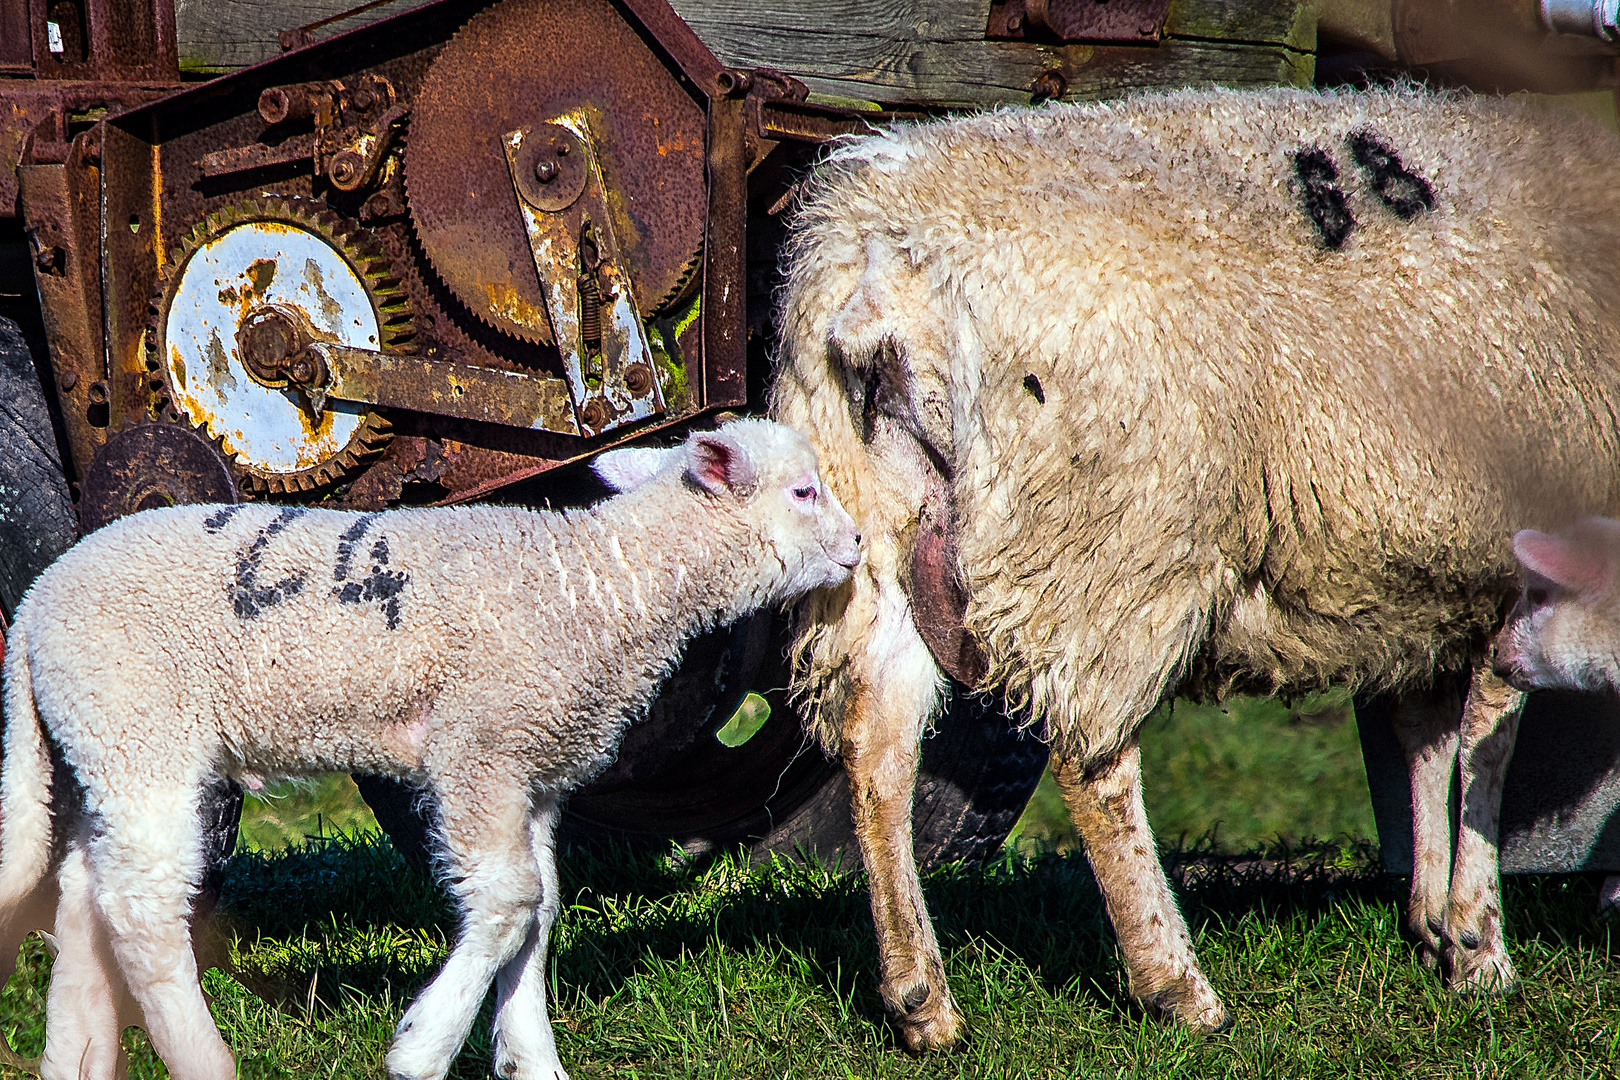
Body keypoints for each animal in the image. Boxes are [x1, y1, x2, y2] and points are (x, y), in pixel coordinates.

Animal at [0, 417, 861, 1080]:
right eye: (803, 491)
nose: (858, 543)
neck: (602, 585)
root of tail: (36, 606)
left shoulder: (533, 769)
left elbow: (540, 907)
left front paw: (529, 1058)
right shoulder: (479, 745)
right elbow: (509, 902)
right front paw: (423, 1047)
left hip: (100, 740)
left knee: (83, 893)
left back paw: (76, 1060)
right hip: (141, 725)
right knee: (140, 906)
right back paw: (204, 1061)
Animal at [767, 86, 1620, 1055]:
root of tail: (880, 259)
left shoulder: (1430, 577)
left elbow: (1428, 735)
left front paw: (1435, 922)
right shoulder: (1522, 547)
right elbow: (1490, 732)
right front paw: (1479, 946)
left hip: (869, 530)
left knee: (877, 741)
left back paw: (922, 1000)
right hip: (1108, 542)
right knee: (1091, 764)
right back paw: (1175, 982)